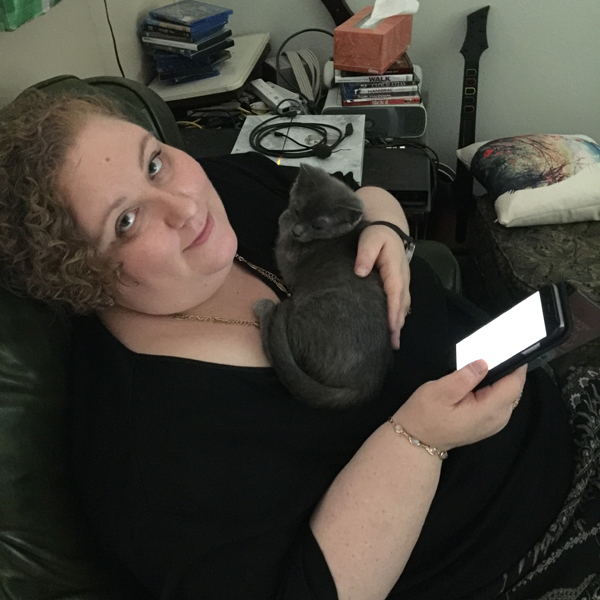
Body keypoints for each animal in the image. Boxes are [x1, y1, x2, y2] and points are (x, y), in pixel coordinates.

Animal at [253, 163, 393, 409]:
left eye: (317, 225)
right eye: (299, 211)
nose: (298, 231)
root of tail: (364, 385)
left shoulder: (287, 255)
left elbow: (283, 232)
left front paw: (283, 218)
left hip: (307, 315)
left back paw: (265, 308)